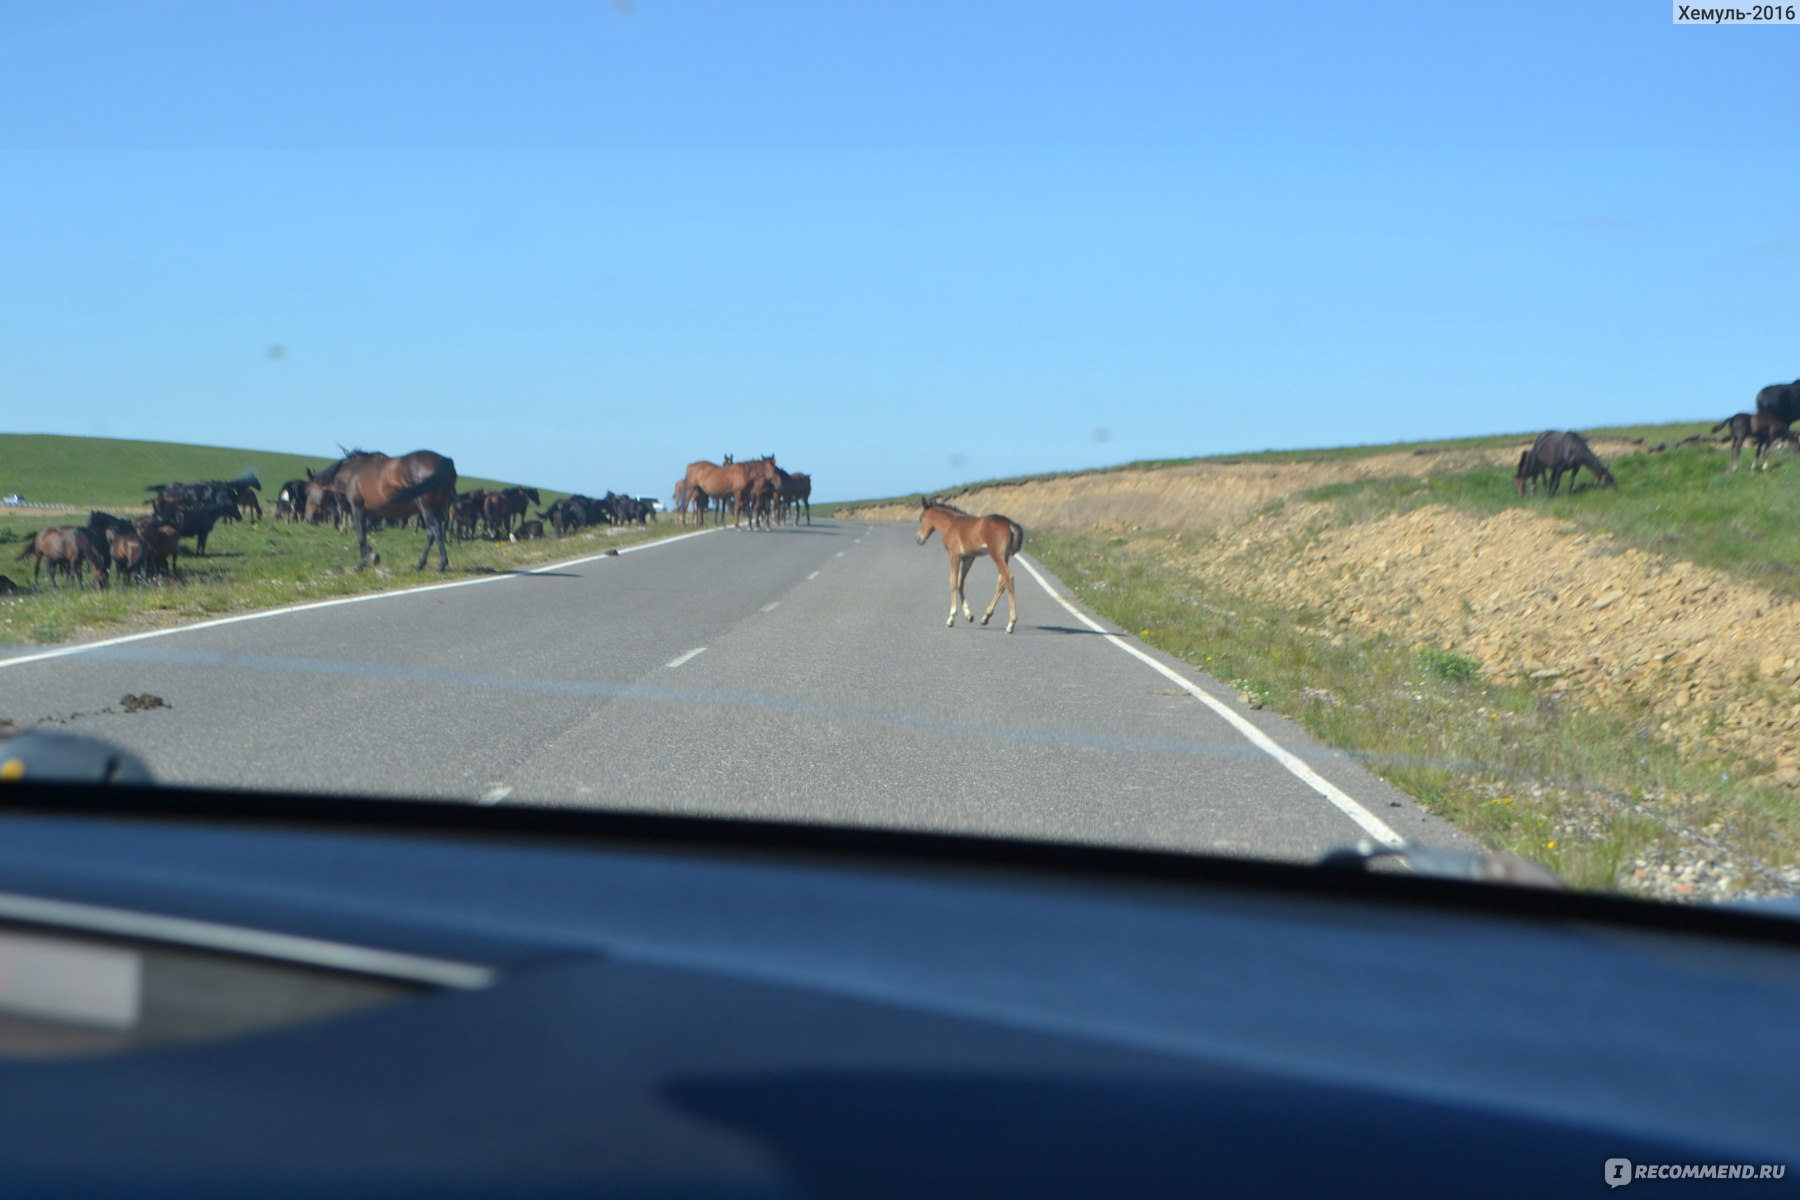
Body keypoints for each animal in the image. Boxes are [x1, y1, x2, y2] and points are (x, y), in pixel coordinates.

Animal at [307, 447, 457, 572]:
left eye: (307, 492)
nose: (308, 518)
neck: (352, 473)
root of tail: (446, 461)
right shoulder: (370, 513)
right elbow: (364, 534)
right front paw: (374, 556)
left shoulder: (357, 508)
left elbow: (361, 535)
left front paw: (361, 564)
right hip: (437, 508)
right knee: (432, 533)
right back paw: (420, 565)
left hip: (426, 507)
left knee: (435, 529)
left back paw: (441, 565)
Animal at [914, 496, 1029, 633]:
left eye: (921, 518)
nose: (918, 539)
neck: (951, 524)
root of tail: (1010, 524)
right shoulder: (968, 558)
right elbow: (960, 583)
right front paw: (969, 615)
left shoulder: (954, 556)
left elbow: (953, 583)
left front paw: (951, 618)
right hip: (1005, 557)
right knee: (1001, 582)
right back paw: (985, 617)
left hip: (997, 555)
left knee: (1008, 578)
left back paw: (1011, 623)